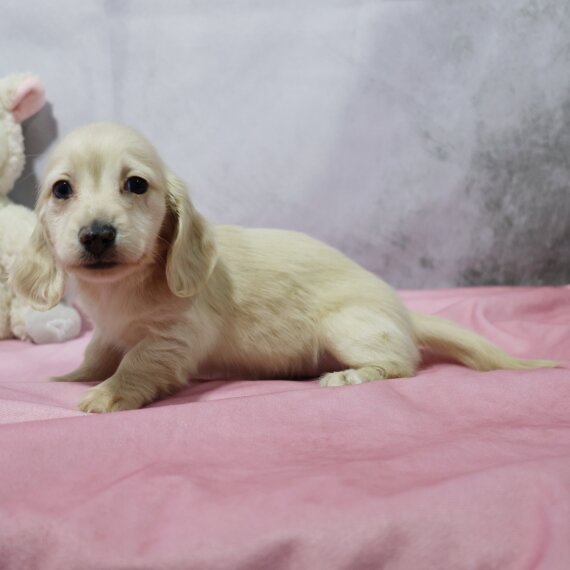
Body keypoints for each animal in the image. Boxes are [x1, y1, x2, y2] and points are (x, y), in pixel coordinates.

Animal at [11, 122, 556, 410]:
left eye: (137, 184)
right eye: (62, 189)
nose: (97, 235)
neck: (123, 289)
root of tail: (401, 311)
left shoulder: (175, 337)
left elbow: (135, 363)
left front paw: (106, 395)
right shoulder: (109, 330)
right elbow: (100, 352)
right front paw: (70, 377)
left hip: (347, 327)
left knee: (403, 363)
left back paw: (349, 377)